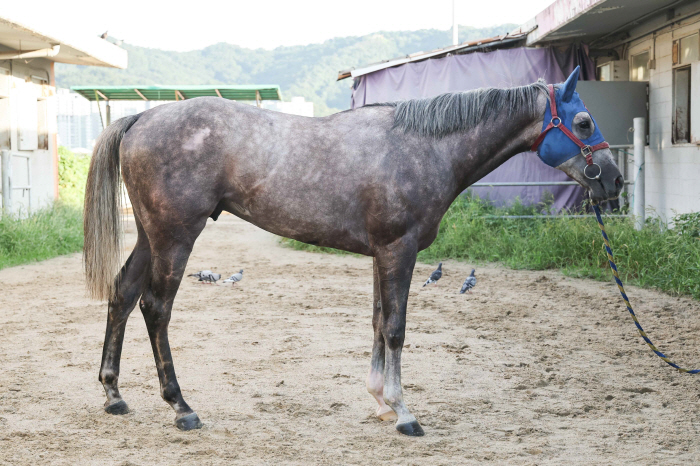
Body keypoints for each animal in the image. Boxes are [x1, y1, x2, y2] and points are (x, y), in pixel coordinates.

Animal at [83, 70, 624, 436]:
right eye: (583, 121)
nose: (615, 181)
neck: (424, 148)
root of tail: (142, 116)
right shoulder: (399, 250)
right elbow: (397, 328)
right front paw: (405, 414)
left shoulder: (382, 254)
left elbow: (378, 321)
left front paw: (382, 401)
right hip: (176, 237)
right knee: (156, 307)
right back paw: (182, 407)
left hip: (151, 237)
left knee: (123, 293)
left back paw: (113, 394)